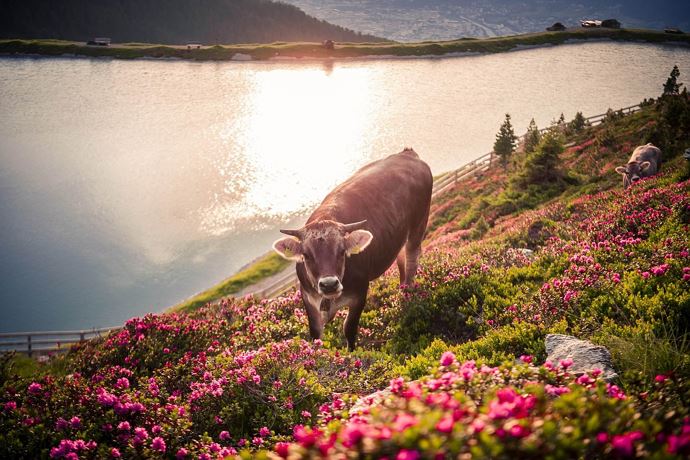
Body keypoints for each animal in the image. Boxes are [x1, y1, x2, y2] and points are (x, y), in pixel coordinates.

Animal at [270, 149, 428, 350]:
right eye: (306, 255)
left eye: (341, 251)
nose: (329, 284)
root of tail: (407, 153)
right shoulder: (308, 298)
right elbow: (315, 333)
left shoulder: (359, 294)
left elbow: (349, 328)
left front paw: (351, 352)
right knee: (401, 259)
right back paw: (402, 288)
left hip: (418, 225)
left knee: (412, 260)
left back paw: (408, 294)